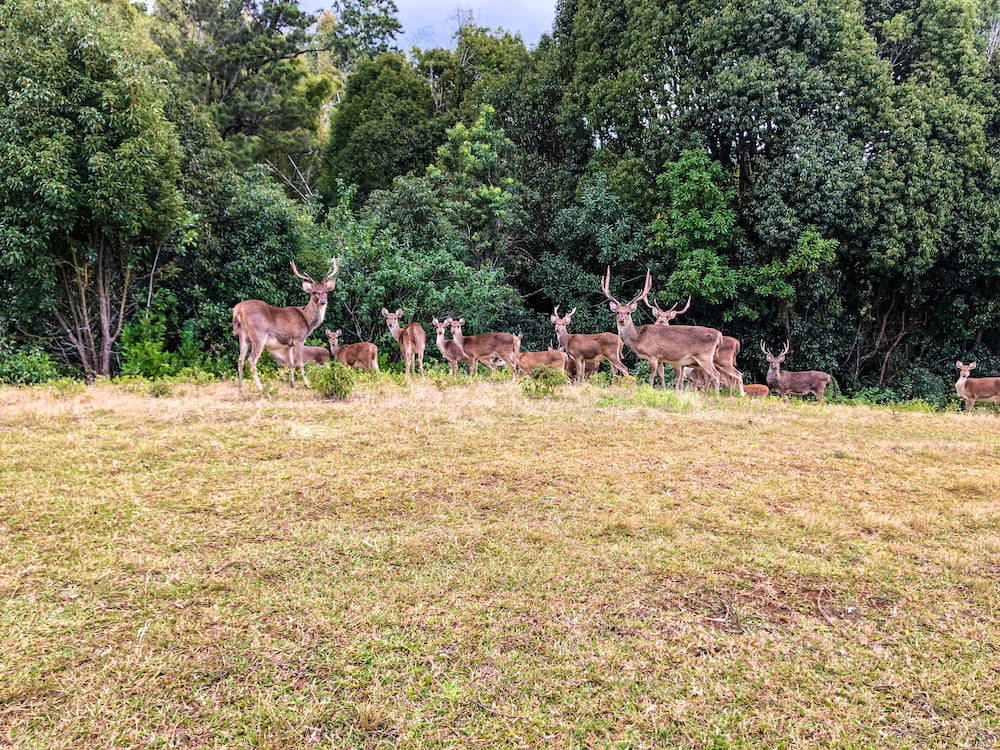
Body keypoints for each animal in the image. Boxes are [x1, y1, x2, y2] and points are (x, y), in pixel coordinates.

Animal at [231, 258, 338, 390]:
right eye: (314, 292)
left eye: (326, 291)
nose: (323, 301)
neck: (307, 322)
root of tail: (238, 310)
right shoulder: (298, 339)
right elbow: (300, 363)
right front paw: (307, 384)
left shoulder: (289, 344)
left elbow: (291, 363)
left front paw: (292, 383)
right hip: (258, 334)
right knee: (251, 360)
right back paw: (260, 387)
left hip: (243, 335)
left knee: (240, 359)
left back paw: (240, 387)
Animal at [596, 268, 724, 390]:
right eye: (617, 312)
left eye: (628, 312)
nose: (622, 320)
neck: (639, 337)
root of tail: (718, 335)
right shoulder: (660, 358)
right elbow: (661, 374)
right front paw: (664, 389)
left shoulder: (652, 354)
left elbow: (651, 375)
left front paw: (650, 389)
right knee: (709, 376)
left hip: (704, 356)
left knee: (716, 375)